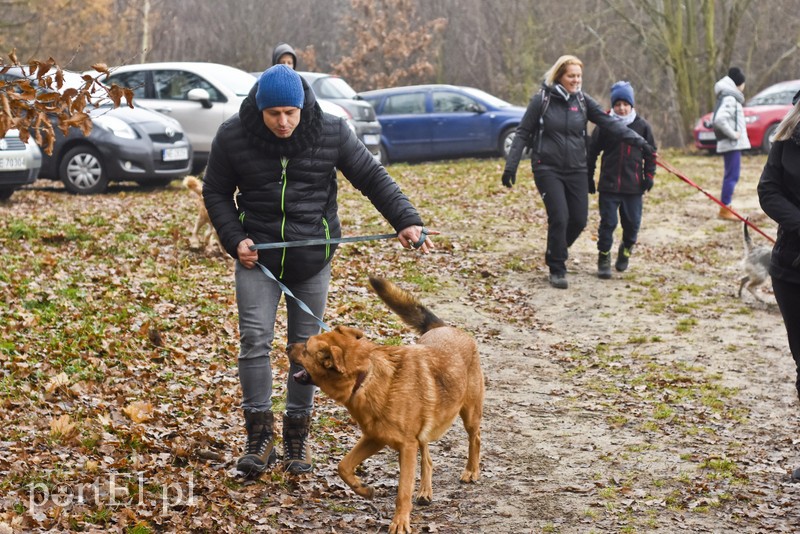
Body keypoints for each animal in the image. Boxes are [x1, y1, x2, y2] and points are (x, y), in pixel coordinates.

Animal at [290, 276, 484, 534]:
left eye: (305, 348)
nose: (286, 346)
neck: (367, 375)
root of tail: (445, 327)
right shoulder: (375, 437)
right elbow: (343, 466)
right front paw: (363, 489)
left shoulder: (405, 446)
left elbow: (403, 491)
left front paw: (400, 522)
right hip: (424, 431)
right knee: (428, 459)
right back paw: (425, 491)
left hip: (469, 413)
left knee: (475, 439)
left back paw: (471, 470)